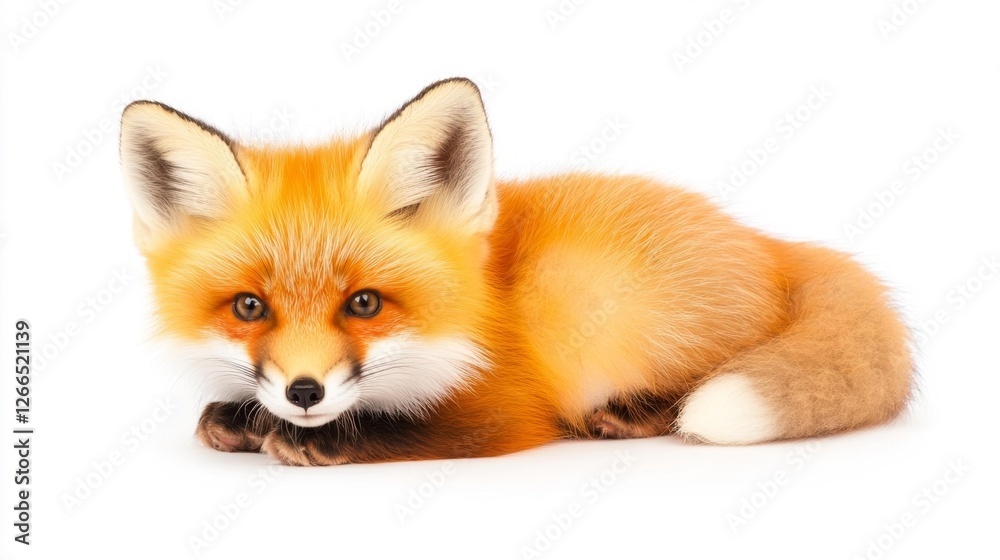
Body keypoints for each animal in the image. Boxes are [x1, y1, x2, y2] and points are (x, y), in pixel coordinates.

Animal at [119, 78, 912, 466]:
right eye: (249, 308)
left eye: (366, 304)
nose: (305, 393)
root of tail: (765, 241)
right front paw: (244, 418)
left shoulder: (507, 405)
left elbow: (421, 428)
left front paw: (322, 439)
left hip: (590, 300)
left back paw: (634, 412)